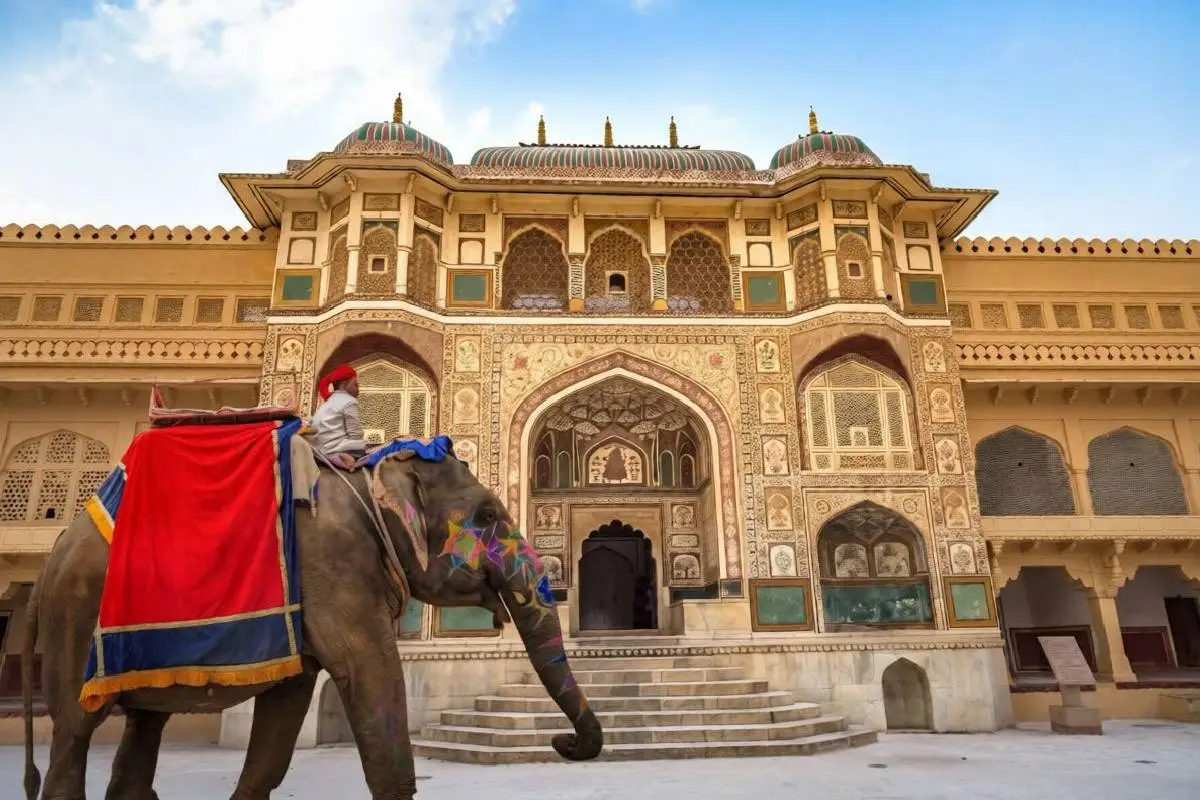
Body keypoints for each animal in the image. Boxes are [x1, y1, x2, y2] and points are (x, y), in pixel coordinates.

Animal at [21, 444, 603, 799]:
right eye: (486, 515)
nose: (562, 744)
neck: (367, 481)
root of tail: (53, 552)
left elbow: (282, 723)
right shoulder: (332, 563)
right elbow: (373, 683)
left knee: (143, 727)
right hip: (74, 611)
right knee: (74, 732)